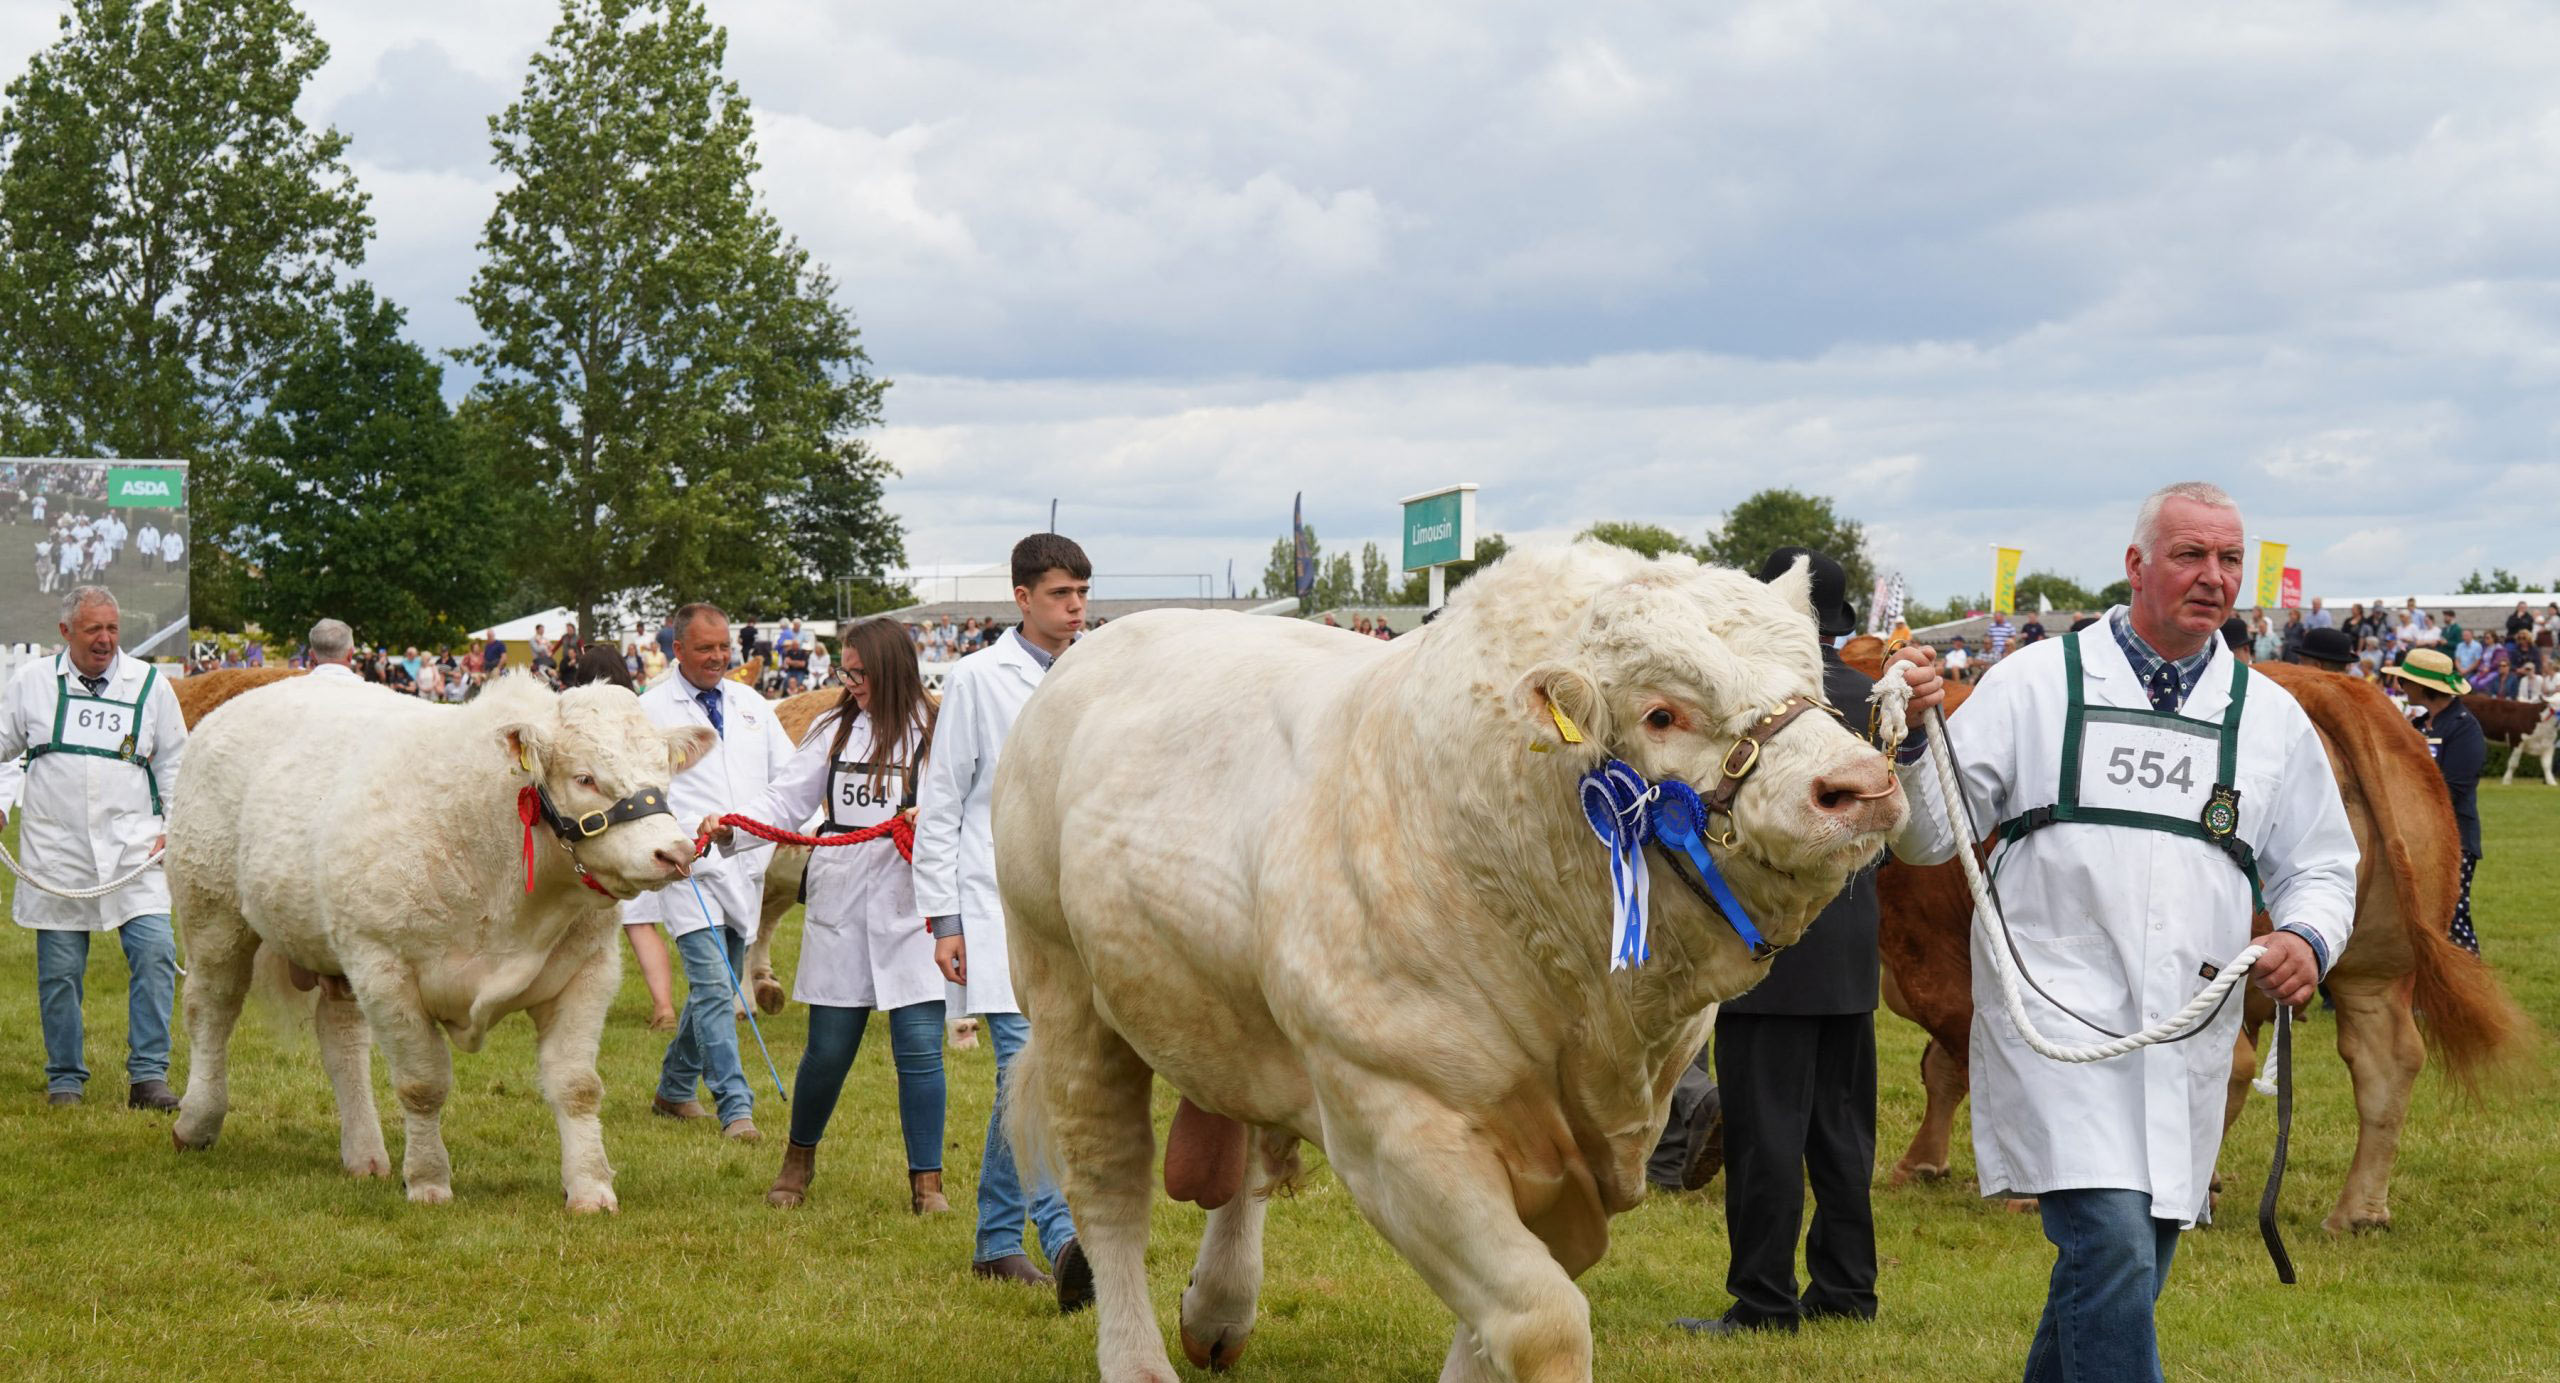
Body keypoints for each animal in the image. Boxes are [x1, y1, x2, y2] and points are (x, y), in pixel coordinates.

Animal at [168, 676, 711, 1208]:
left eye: (665, 774)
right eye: (586, 778)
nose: (675, 852)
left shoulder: (588, 973)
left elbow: (577, 1085)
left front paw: (591, 1188)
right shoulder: (386, 968)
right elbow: (422, 1084)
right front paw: (429, 1181)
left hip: (336, 951)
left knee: (341, 1036)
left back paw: (364, 1153)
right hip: (213, 915)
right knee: (211, 1010)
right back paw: (197, 1122)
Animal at [993, 548, 1904, 1383]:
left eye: (1815, 680)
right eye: (1661, 712)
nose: (1859, 783)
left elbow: (1495, 1323)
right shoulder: (1395, 1120)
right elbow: (1540, 1321)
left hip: (1229, 1008)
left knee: (1245, 1142)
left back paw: (1218, 1306)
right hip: (1063, 984)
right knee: (1108, 1184)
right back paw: (1138, 1357)